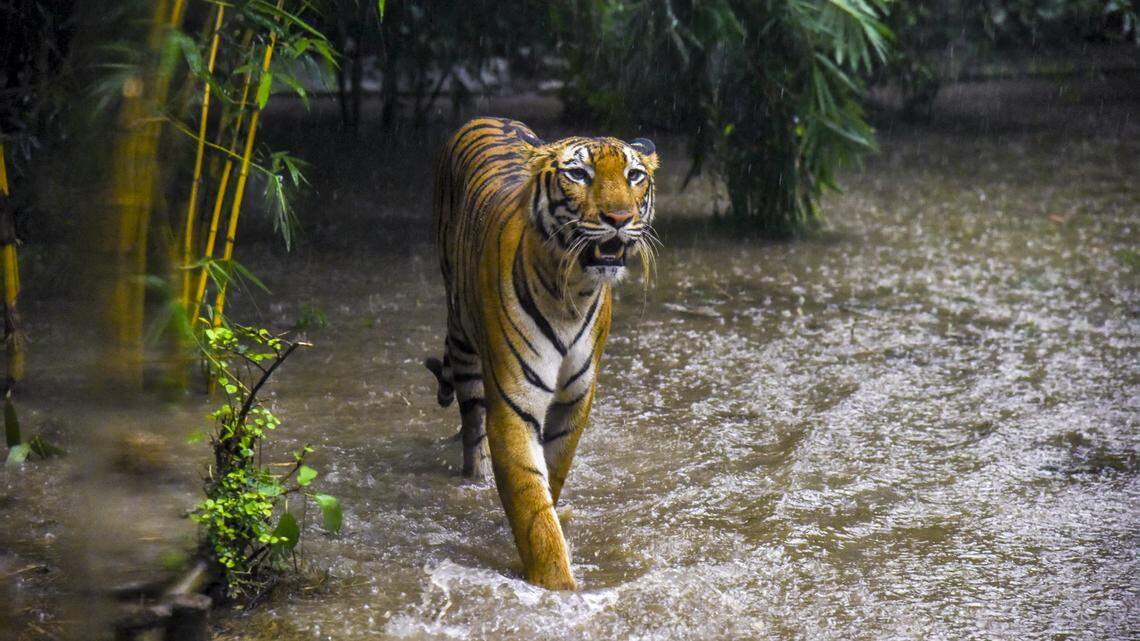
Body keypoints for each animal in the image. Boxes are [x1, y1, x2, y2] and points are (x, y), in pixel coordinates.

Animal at [423, 117, 659, 590]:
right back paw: (474, 476)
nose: (619, 219)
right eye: (579, 174)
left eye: (634, 176)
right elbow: (532, 506)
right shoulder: (514, 402)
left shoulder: (576, 398)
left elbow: (553, 472)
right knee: (471, 426)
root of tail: (487, 118)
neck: (573, 293)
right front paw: (559, 589)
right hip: (463, 340)